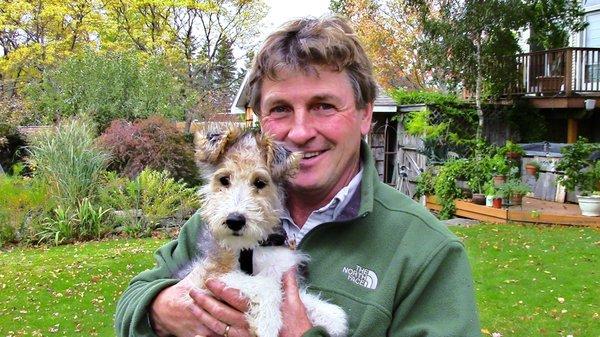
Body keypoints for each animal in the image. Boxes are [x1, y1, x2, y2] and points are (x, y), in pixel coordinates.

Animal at [177, 127, 346, 336]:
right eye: (224, 179)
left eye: (259, 182)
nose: (234, 221)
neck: (249, 248)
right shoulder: (210, 274)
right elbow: (266, 285)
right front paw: (268, 322)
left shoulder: (279, 265)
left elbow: (292, 293)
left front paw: (332, 316)